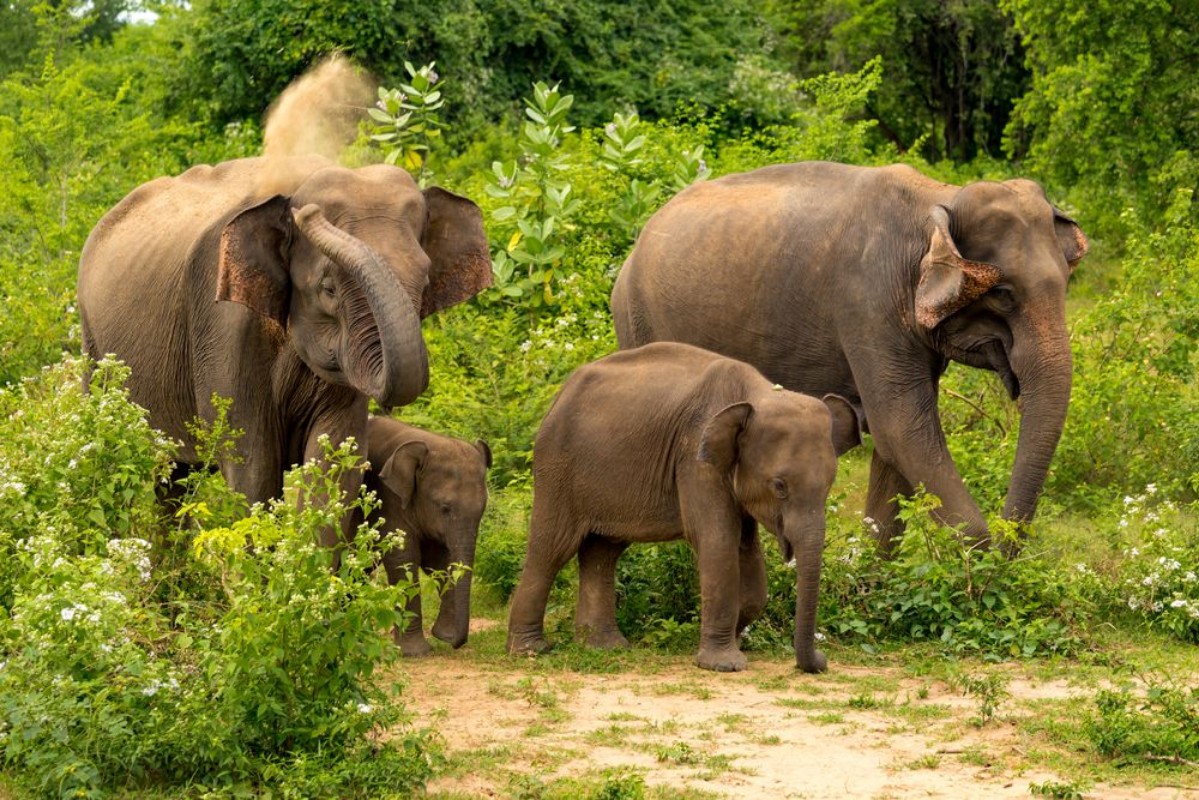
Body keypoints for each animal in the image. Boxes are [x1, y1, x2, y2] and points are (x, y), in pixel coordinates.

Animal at [77, 154, 489, 525]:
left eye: (425, 281)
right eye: (328, 288)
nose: (307, 214)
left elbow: (335, 466)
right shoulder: (222, 326)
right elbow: (252, 469)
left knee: (174, 477)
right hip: (92, 342)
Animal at [357, 412, 489, 657]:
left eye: (483, 508)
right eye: (445, 508)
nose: (455, 643)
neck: (427, 442)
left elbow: (438, 561)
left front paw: (442, 635)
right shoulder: (390, 497)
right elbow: (404, 559)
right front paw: (416, 652)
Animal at [505, 340, 863, 671]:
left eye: (829, 484)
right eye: (779, 486)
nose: (821, 661)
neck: (758, 394)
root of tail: (558, 396)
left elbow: (746, 550)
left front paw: (729, 643)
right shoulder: (695, 456)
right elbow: (718, 539)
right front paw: (724, 664)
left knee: (602, 552)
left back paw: (605, 646)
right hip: (557, 466)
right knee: (552, 548)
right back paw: (530, 650)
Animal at [613, 160, 1093, 554]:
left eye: (1065, 284)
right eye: (1003, 294)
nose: (1010, 545)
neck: (939, 198)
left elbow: (896, 443)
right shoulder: (868, 303)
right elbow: (902, 427)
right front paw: (981, 561)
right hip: (638, 321)